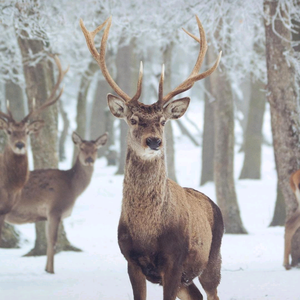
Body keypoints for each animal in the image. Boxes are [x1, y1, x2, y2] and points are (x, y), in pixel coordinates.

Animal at [4, 132, 108, 274]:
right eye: (81, 148)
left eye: (96, 149)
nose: (89, 160)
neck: (72, 188)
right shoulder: (56, 209)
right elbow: (54, 241)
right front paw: (52, 271)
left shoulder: (47, 215)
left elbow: (48, 240)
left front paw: (46, 269)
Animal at [81, 15, 224, 300]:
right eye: (133, 119)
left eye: (162, 121)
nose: (154, 141)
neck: (147, 233)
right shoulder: (131, 261)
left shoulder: (174, 261)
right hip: (187, 279)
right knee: (196, 295)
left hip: (213, 258)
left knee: (212, 291)